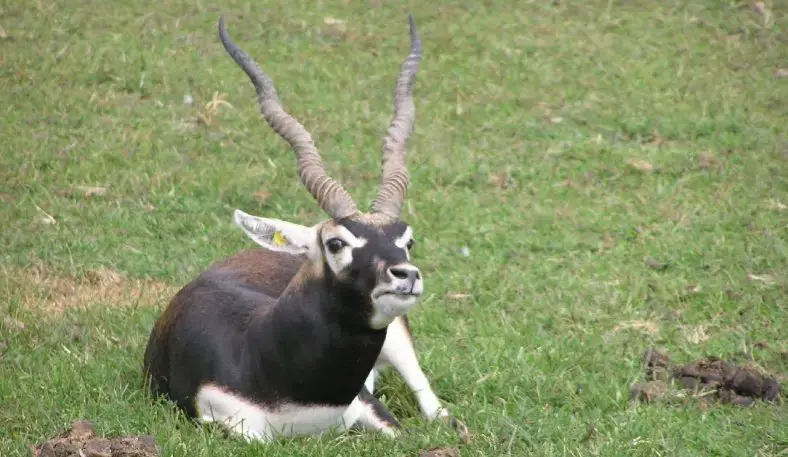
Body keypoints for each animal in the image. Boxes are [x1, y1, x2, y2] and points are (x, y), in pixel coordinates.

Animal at [144, 16, 458, 440]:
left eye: (407, 240)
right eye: (336, 243)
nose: (406, 275)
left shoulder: (368, 405)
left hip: (400, 341)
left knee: (433, 406)